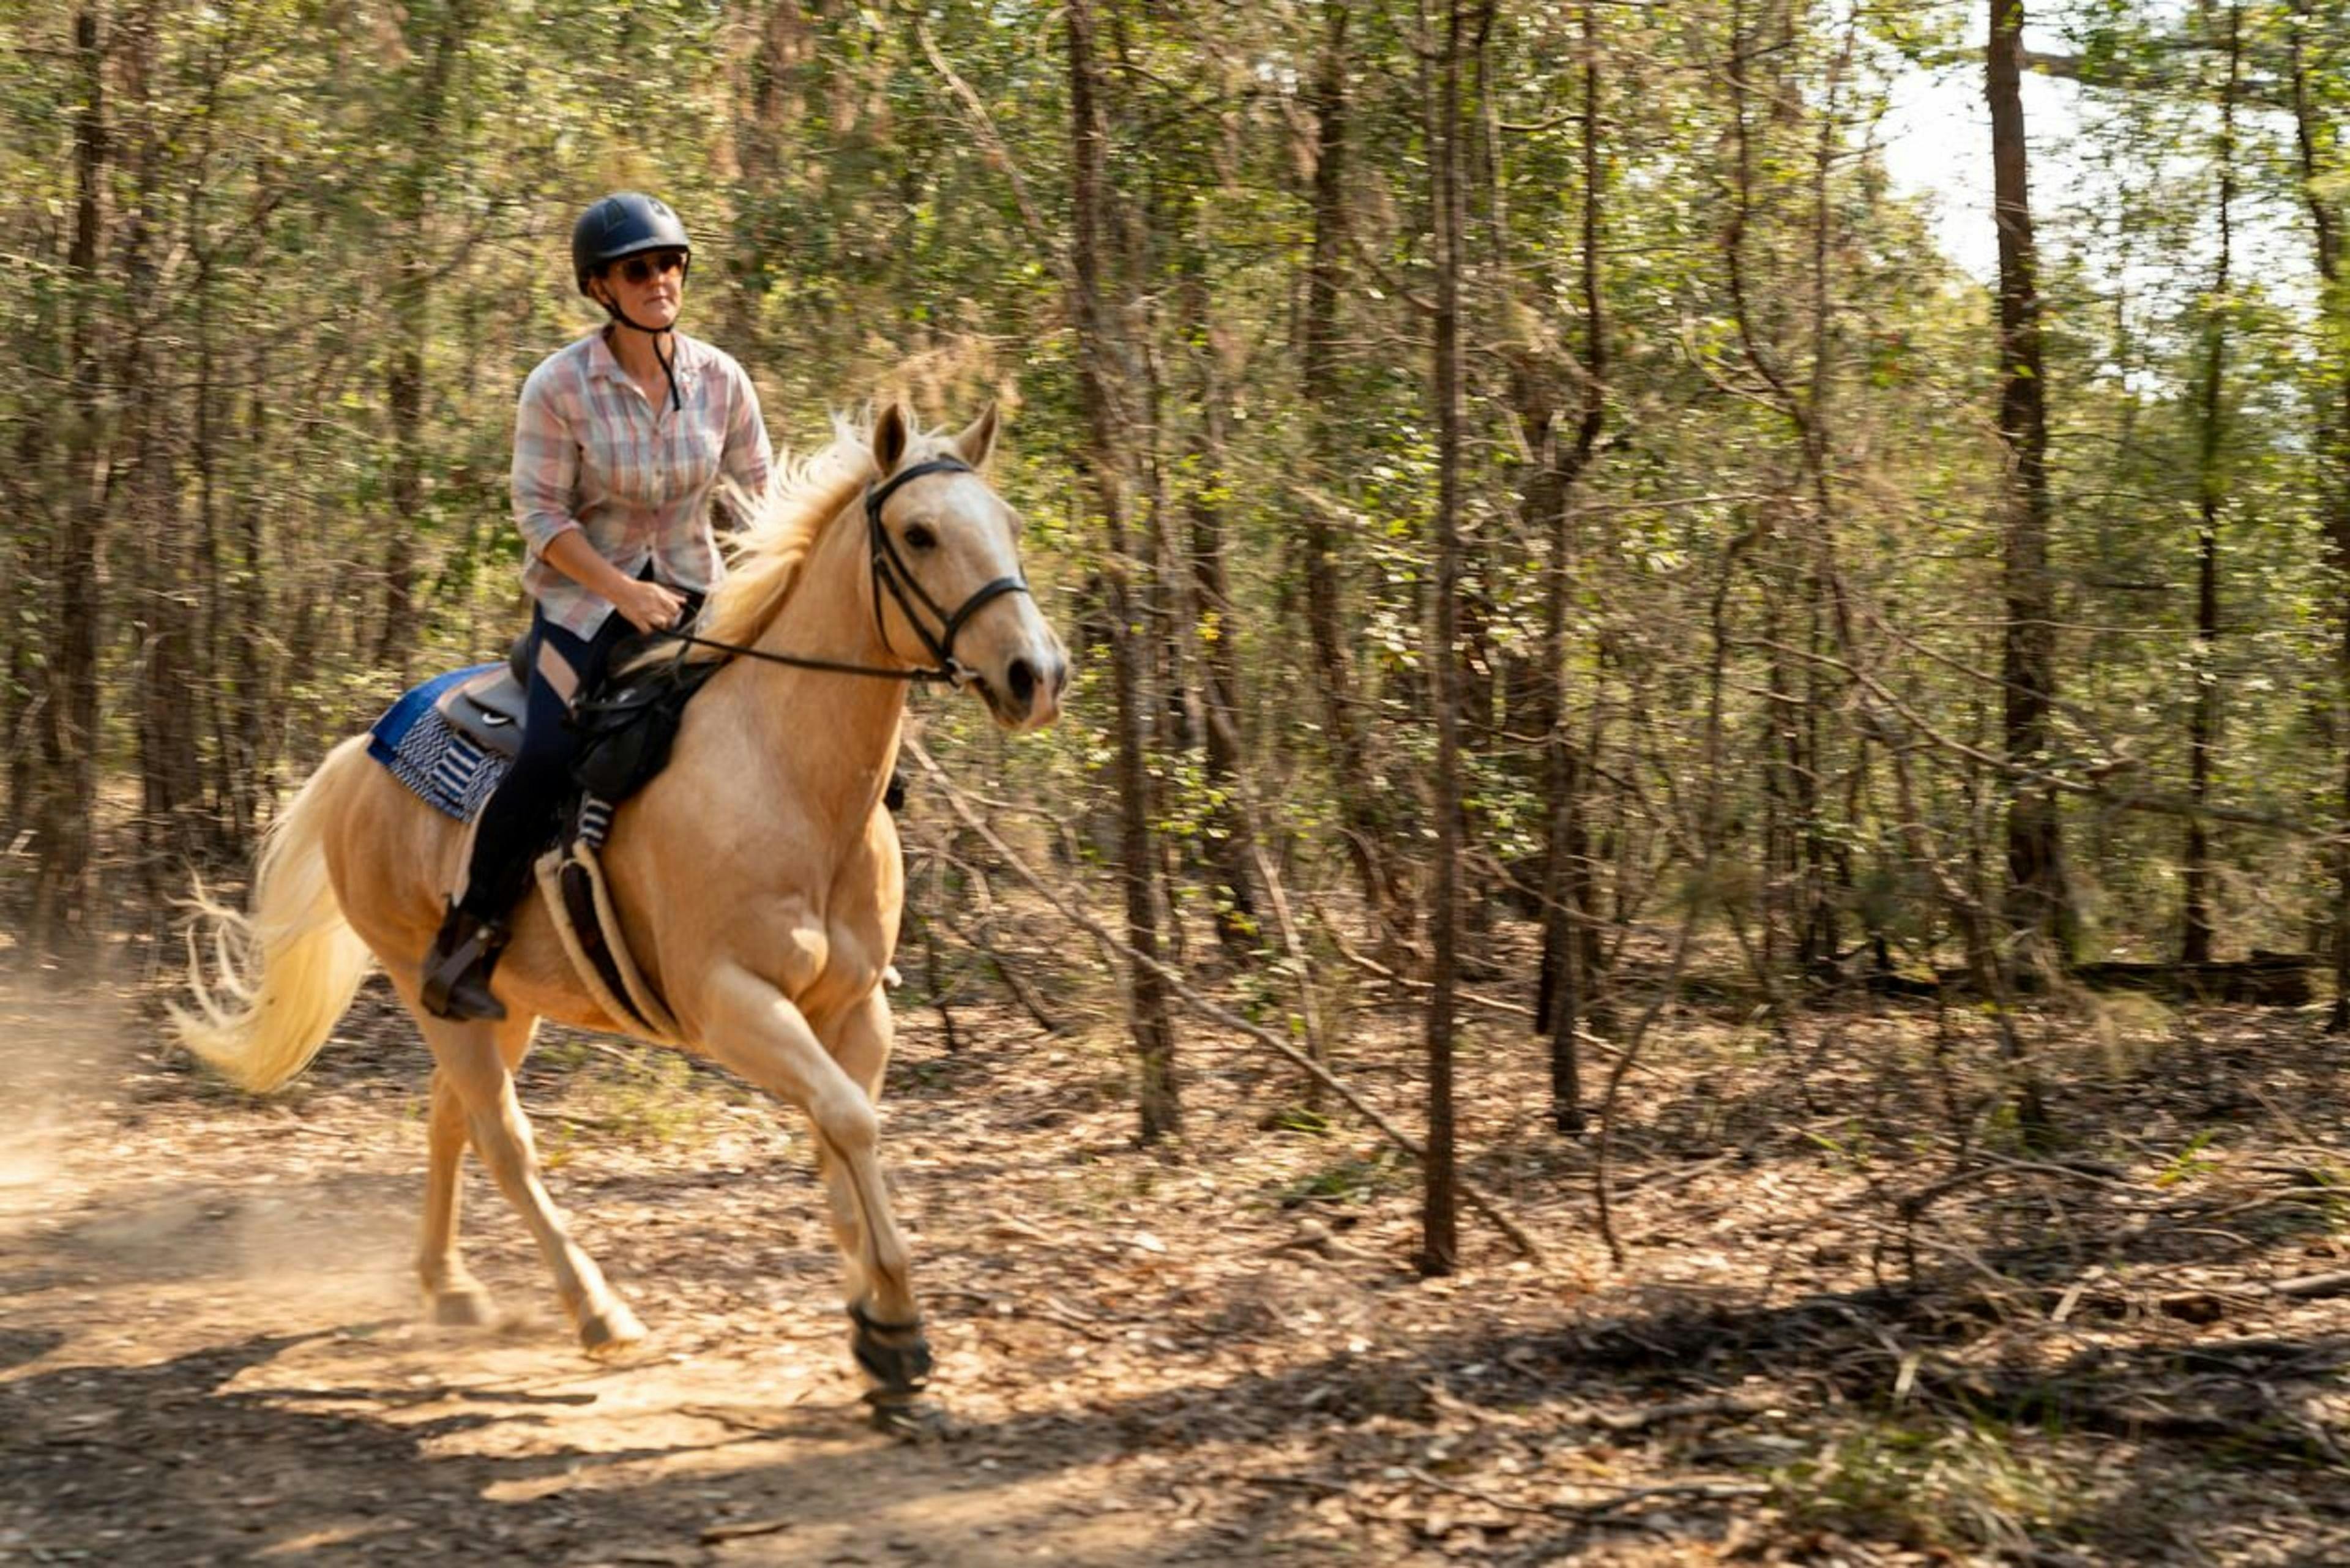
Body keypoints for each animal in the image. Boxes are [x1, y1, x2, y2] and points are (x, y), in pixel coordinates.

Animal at [173, 400, 1068, 1428]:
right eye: (920, 534)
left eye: (1008, 523)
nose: (1036, 674)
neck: (790, 781)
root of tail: (360, 754)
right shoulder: (733, 1005)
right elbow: (848, 1121)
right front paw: (895, 1325)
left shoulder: (855, 1007)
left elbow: (841, 1132)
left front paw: (875, 1329)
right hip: (415, 974)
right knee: (504, 1139)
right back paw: (597, 1311)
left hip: (501, 1001)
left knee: (449, 1119)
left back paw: (450, 1285)